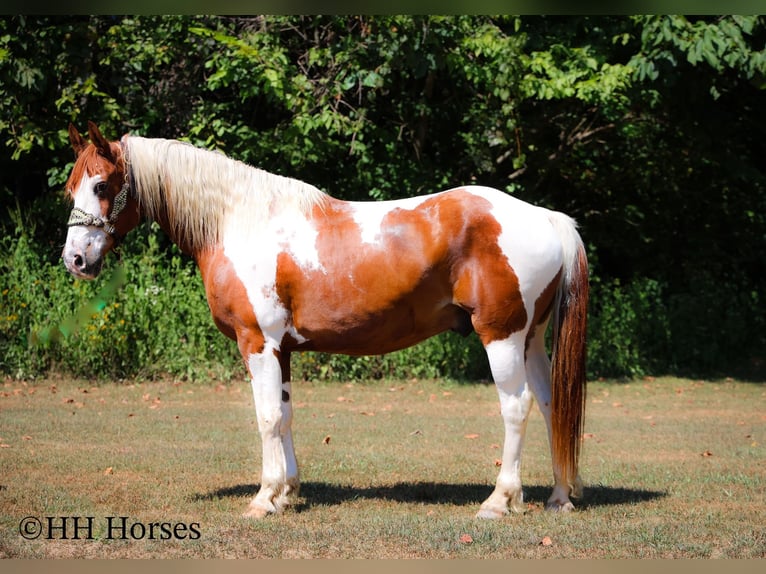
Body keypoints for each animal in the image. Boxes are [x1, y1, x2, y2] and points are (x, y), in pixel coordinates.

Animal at [61, 121, 588, 519]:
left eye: (102, 185)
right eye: (71, 188)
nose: (75, 260)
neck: (238, 221)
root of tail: (545, 217)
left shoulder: (257, 343)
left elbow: (267, 417)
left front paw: (263, 499)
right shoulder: (282, 349)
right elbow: (285, 414)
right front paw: (287, 491)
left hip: (501, 336)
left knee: (517, 407)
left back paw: (499, 501)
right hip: (531, 339)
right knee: (550, 404)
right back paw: (559, 498)